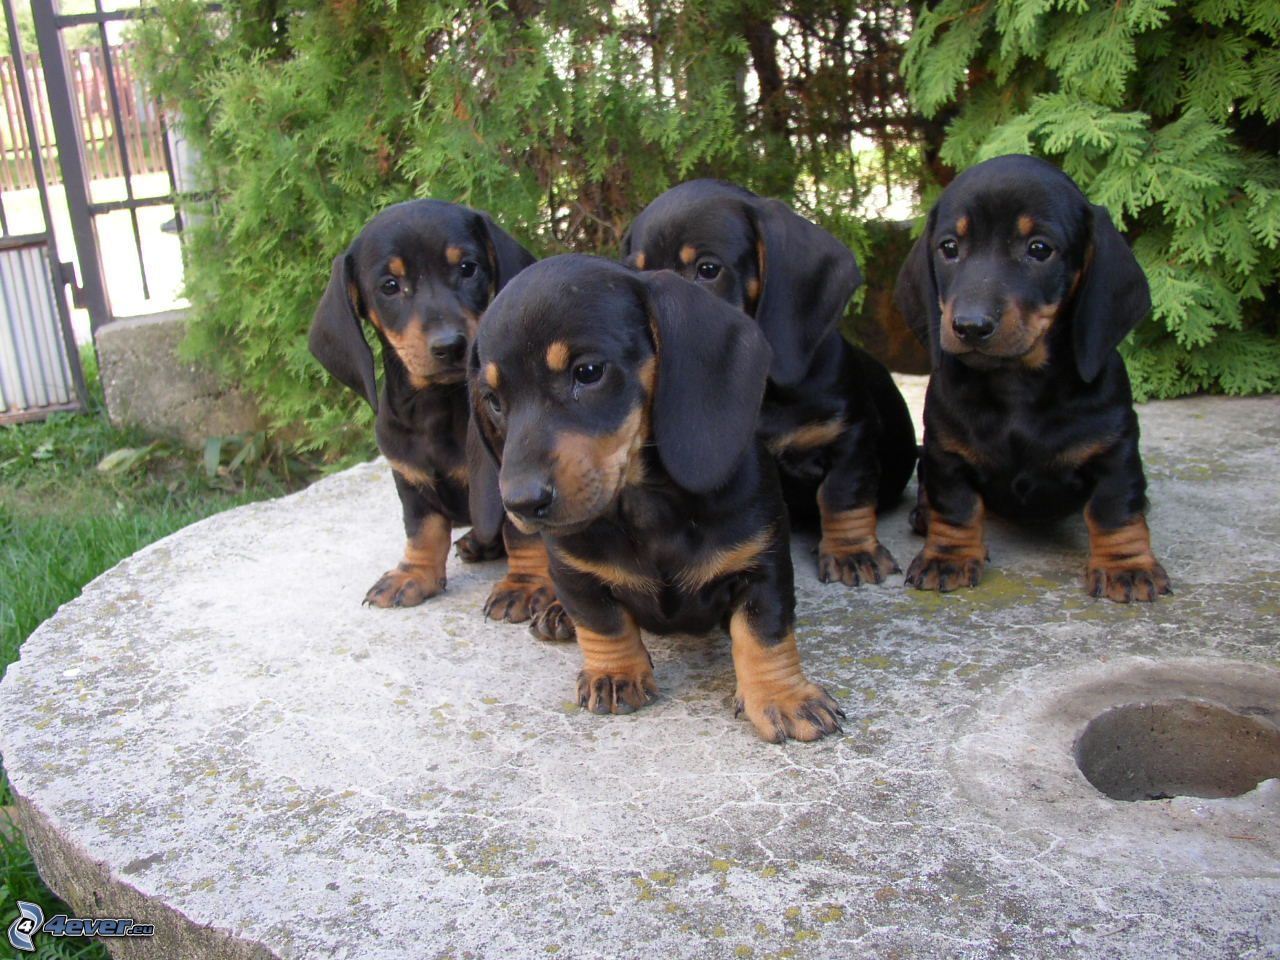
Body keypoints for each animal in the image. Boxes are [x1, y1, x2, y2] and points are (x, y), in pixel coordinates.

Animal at [310, 199, 571, 638]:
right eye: (390, 286)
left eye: (467, 267)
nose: (450, 346)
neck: (440, 407)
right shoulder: (409, 477)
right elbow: (422, 529)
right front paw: (413, 575)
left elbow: (522, 533)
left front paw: (523, 584)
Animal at [469, 254, 844, 742]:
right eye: (493, 399)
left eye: (588, 372)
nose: (520, 504)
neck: (647, 507)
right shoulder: (574, 572)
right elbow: (602, 622)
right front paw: (614, 674)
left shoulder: (762, 564)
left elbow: (765, 632)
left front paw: (783, 697)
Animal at [894, 154, 1171, 602]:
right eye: (949, 247)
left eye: (1039, 249)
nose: (970, 326)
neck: (1016, 384)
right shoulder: (946, 453)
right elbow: (956, 506)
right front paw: (948, 556)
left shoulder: (1115, 451)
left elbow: (1113, 509)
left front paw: (1126, 566)